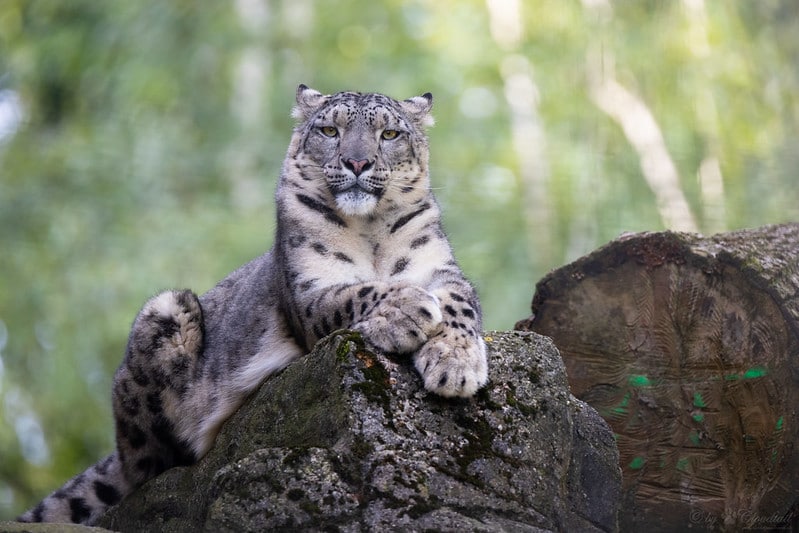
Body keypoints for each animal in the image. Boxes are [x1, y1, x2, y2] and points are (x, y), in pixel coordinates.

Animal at [18, 84, 490, 524]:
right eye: (329, 130)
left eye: (389, 133)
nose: (357, 162)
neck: (369, 230)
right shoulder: (310, 290)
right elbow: (355, 293)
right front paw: (408, 310)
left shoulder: (441, 269)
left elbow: (459, 305)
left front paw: (454, 364)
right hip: (164, 315)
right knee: (147, 466)